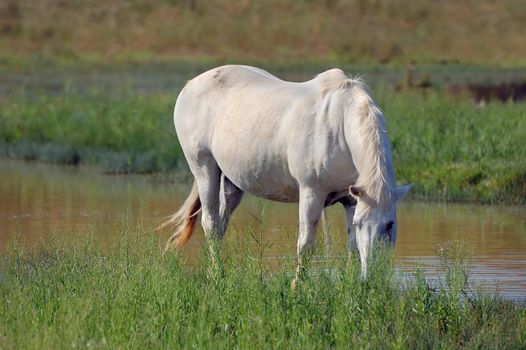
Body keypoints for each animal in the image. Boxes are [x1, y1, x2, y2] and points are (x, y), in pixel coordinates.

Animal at [159, 65, 414, 284]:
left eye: (390, 224)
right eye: (361, 223)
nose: (372, 276)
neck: (340, 126)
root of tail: (191, 85)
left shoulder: (351, 199)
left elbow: (351, 246)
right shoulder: (311, 193)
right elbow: (306, 244)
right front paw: (297, 286)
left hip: (232, 182)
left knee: (221, 225)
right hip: (204, 170)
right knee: (211, 224)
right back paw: (216, 276)